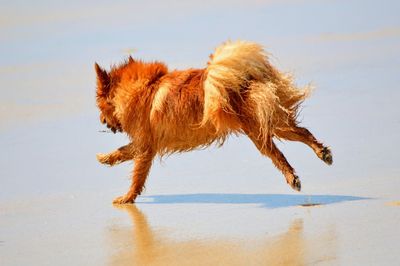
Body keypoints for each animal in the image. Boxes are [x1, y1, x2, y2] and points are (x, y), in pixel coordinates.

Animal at [96, 40, 332, 205]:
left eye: (99, 106)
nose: (101, 121)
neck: (145, 88)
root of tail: (245, 79)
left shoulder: (145, 147)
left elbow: (136, 175)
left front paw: (127, 197)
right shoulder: (145, 144)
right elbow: (123, 151)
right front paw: (106, 158)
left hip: (259, 133)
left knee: (277, 155)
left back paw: (293, 178)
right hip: (273, 123)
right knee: (302, 131)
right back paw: (323, 153)